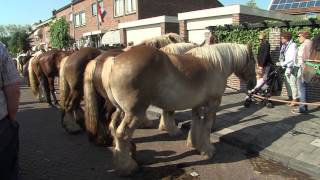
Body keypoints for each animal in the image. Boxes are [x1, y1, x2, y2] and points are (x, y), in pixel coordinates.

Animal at [99, 43, 256, 175]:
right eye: (253, 62)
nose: (253, 84)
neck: (215, 65)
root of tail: (114, 61)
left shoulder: (197, 105)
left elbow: (196, 123)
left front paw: (194, 144)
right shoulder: (212, 105)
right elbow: (206, 127)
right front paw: (208, 150)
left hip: (121, 111)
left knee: (114, 127)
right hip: (134, 113)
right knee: (122, 134)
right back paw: (128, 166)